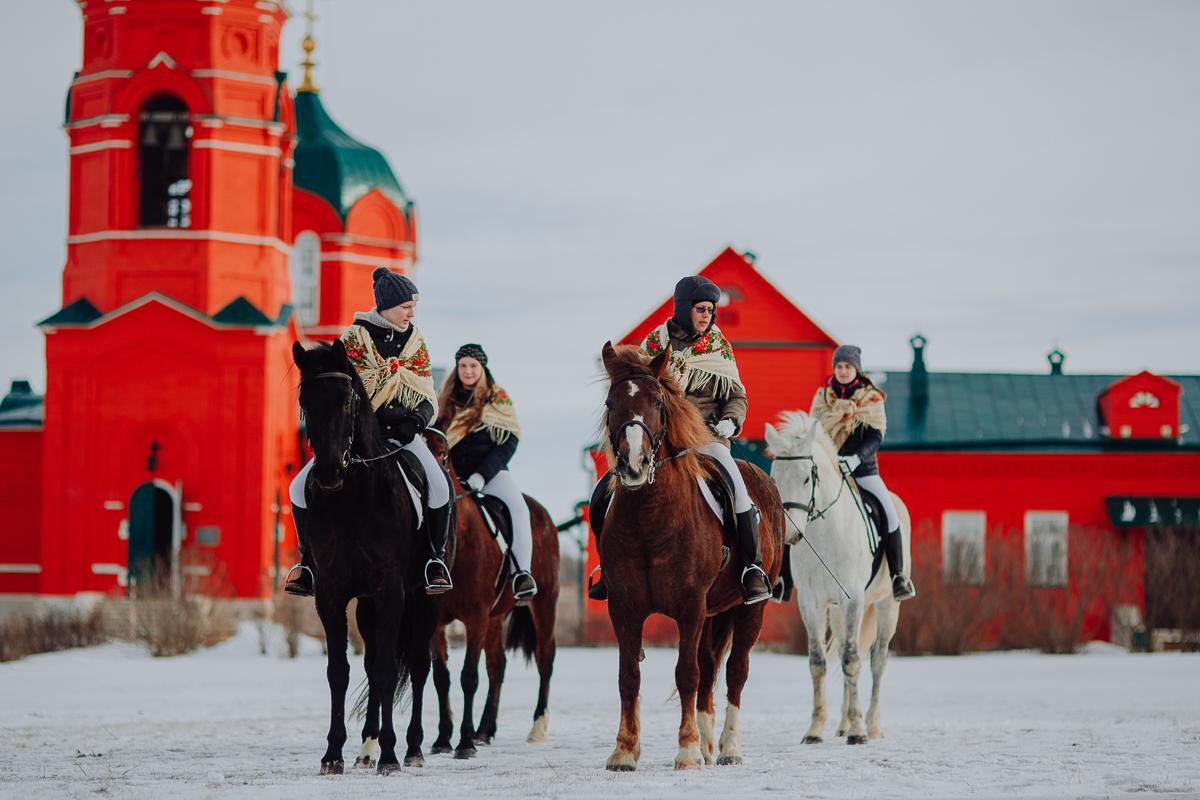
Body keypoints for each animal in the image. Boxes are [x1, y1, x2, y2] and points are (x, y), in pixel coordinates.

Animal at [292, 340, 448, 777]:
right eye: (304, 400)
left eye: (347, 400)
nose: (328, 471)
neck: (353, 498)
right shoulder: (331, 594)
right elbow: (340, 671)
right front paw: (333, 753)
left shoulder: (391, 591)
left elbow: (386, 670)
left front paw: (391, 756)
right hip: (365, 605)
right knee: (373, 663)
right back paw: (366, 748)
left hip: (423, 599)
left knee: (417, 665)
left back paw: (412, 749)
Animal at [422, 424, 556, 758]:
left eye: (443, 454)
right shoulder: (438, 622)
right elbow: (442, 678)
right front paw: (443, 739)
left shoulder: (476, 618)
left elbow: (468, 677)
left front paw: (464, 743)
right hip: (496, 617)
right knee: (498, 666)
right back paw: (485, 729)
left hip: (544, 603)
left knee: (545, 658)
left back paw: (536, 727)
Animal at [600, 343, 787, 767]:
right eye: (610, 403)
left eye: (658, 402)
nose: (633, 465)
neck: (650, 517)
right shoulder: (624, 606)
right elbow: (627, 676)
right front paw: (624, 750)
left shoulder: (689, 606)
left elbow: (686, 673)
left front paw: (685, 750)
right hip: (713, 612)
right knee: (709, 668)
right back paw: (706, 743)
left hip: (749, 610)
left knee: (734, 671)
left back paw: (728, 747)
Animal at [768, 412, 907, 743]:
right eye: (775, 478)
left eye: (807, 477)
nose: (790, 533)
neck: (824, 532)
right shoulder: (811, 602)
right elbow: (818, 662)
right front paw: (815, 730)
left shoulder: (852, 598)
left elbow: (853, 661)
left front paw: (858, 732)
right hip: (836, 612)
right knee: (846, 648)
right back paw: (843, 724)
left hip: (886, 605)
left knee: (878, 660)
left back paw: (871, 725)